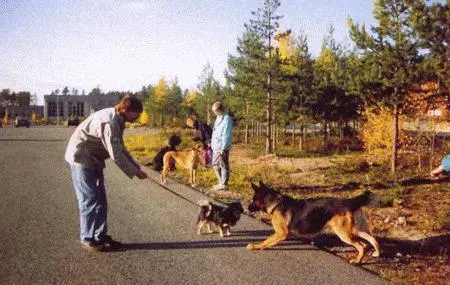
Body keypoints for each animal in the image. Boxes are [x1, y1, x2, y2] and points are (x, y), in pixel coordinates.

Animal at [246, 181, 380, 262]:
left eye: (253, 200)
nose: (246, 208)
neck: (276, 203)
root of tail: (349, 202)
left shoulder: (281, 233)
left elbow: (266, 241)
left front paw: (255, 246)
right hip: (355, 230)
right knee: (371, 239)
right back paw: (375, 254)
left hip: (345, 234)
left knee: (361, 245)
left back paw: (357, 261)